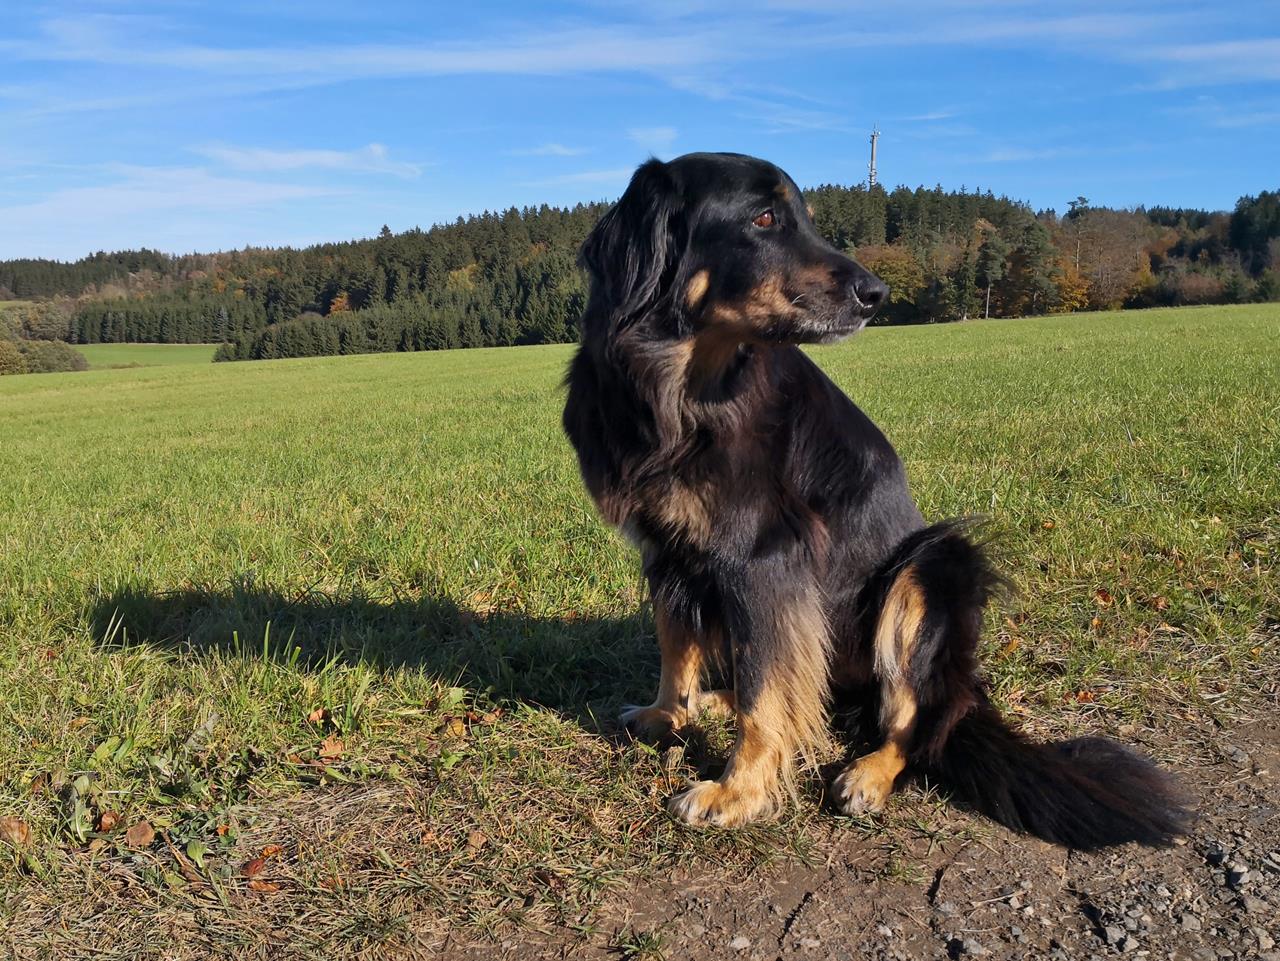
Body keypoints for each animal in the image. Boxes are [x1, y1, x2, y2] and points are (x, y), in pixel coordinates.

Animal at [561, 152, 1189, 848]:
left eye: (805, 217)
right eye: (764, 218)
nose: (877, 294)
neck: (676, 385)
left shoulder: (763, 556)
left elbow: (762, 689)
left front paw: (739, 790)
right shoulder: (666, 550)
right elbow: (679, 644)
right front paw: (665, 713)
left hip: (932, 567)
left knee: (919, 721)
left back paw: (869, 772)